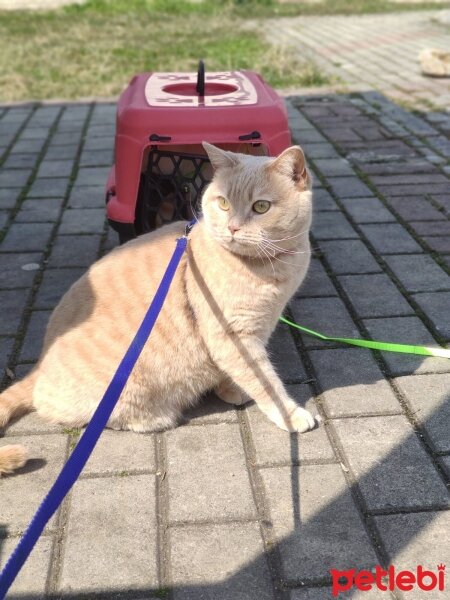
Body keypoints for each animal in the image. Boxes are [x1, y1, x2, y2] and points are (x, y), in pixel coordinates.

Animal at [0, 141, 314, 474]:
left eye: (261, 207)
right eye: (224, 203)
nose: (233, 227)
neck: (272, 269)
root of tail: (39, 366)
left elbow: (237, 371)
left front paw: (228, 388)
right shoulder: (231, 335)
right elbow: (264, 380)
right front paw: (290, 413)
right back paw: (156, 418)